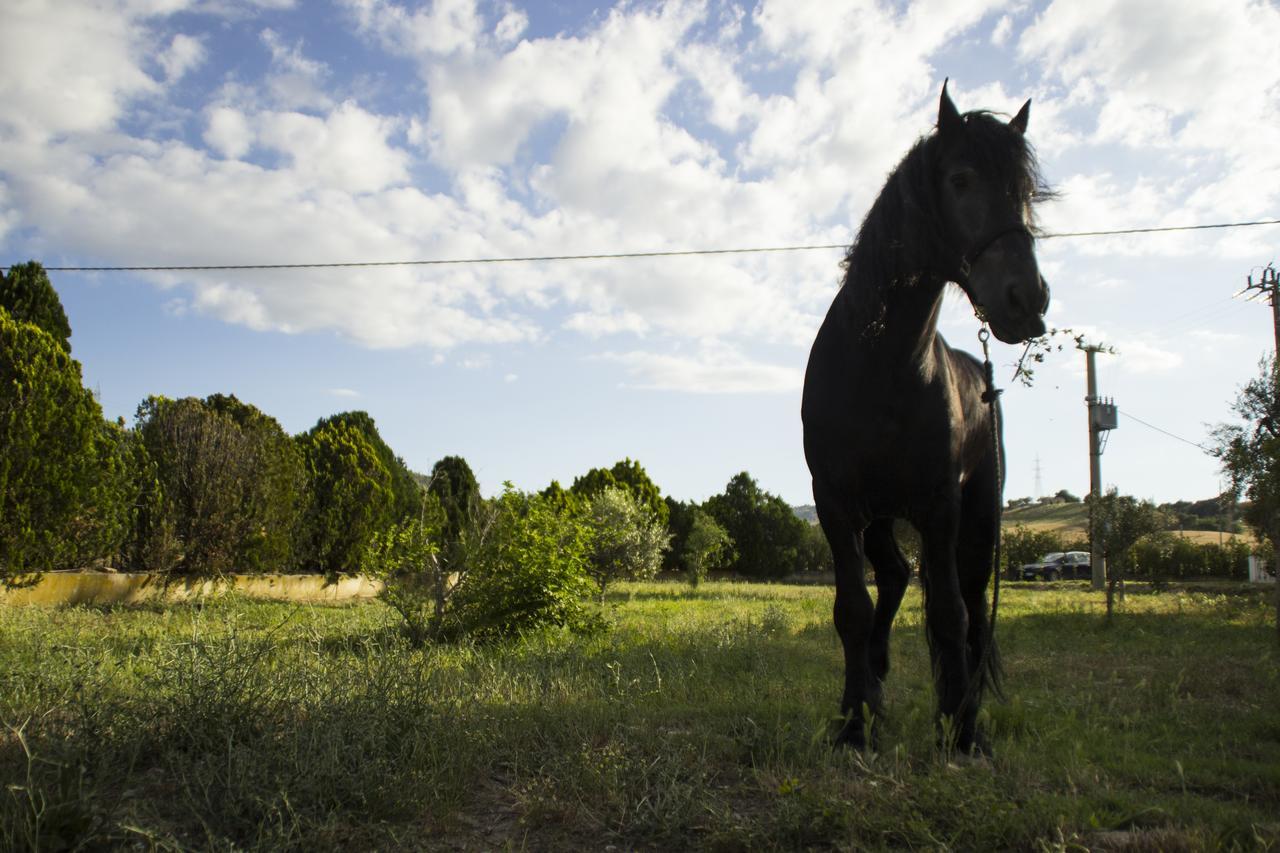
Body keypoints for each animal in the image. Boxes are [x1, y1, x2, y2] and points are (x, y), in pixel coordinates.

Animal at [803, 81, 1044, 753]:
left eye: (1026, 190)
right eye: (960, 179)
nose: (1028, 299)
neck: (883, 366)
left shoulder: (941, 505)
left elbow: (951, 614)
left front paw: (963, 732)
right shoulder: (836, 502)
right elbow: (852, 610)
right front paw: (853, 723)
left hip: (979, 516)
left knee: (964, 603)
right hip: (882, 517)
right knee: (894, 578)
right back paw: (876, 688)